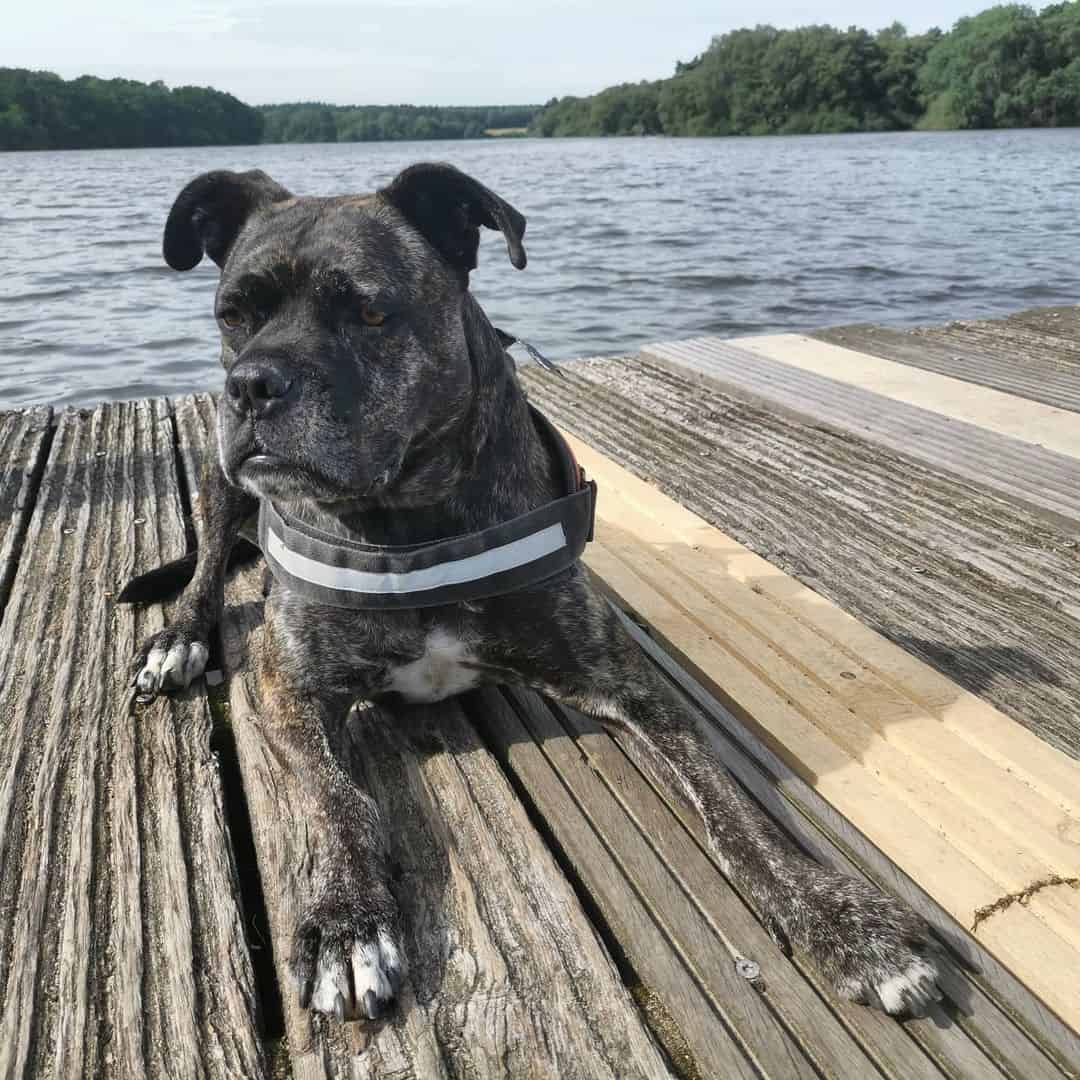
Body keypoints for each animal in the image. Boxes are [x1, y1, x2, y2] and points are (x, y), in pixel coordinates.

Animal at [132, 164, 946, 1023]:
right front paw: (349, 920)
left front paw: (837, 919)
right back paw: (178, 639)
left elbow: (732, 811)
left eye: (370, 311)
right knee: (207, 562)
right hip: (221, 478)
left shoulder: (627, 684)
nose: (253, 382)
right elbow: (339, 800)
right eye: (232, 315)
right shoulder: (284, 684)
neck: (407, 520)